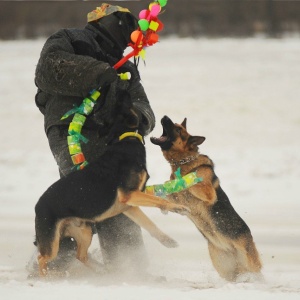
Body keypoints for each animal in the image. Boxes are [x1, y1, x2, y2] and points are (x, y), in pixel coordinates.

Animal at [34, 96, 190, 276]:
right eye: (124, 104)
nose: (123, 92)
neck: (125, 138)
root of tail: (37, 206)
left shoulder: (129, 206)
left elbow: (149, 224)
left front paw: (167, 240)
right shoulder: (129, 194)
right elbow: (160, 201)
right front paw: (179, 207)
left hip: (84, 230)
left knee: (81, 256)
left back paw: (104, 272)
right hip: (53, 241)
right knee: (42, 258)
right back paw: (45, 276)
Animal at [151, 116, 262, 282]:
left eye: (178, 129)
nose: (164, 117)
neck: (184, 161)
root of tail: (232, 249)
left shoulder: (208, 192)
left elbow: (191, 183)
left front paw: (184, 180)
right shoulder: (178, 199)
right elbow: (170, 192)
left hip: (249, 261)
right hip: (224, 265)